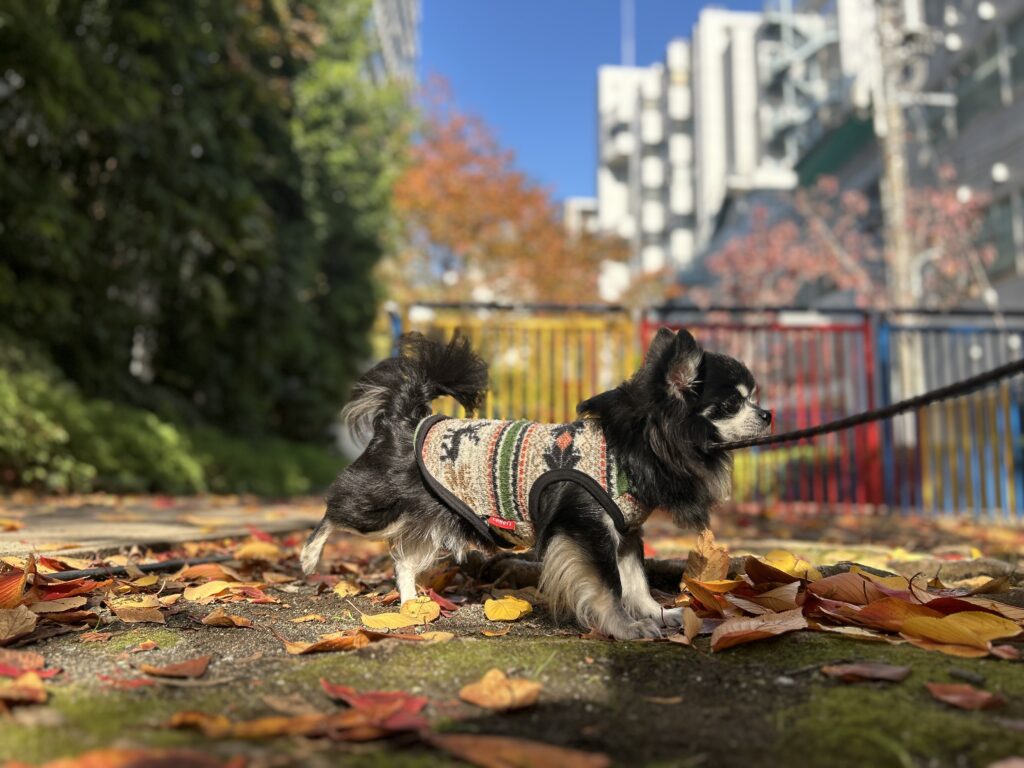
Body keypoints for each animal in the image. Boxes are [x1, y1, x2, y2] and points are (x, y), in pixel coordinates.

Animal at [300, 327, 771, 639]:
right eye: (731, 404)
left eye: (753, 398)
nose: (768, 414)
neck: (629, 447)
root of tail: (404, 417)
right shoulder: (588, 529)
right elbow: (610, 586)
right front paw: (624, 627)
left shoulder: (624, 534)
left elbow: (635, 582)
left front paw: (656, 614)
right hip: (374, 507)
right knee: (333, 512)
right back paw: (308, 556)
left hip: (432, 521)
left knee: (402, 561)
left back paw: (409, 603)